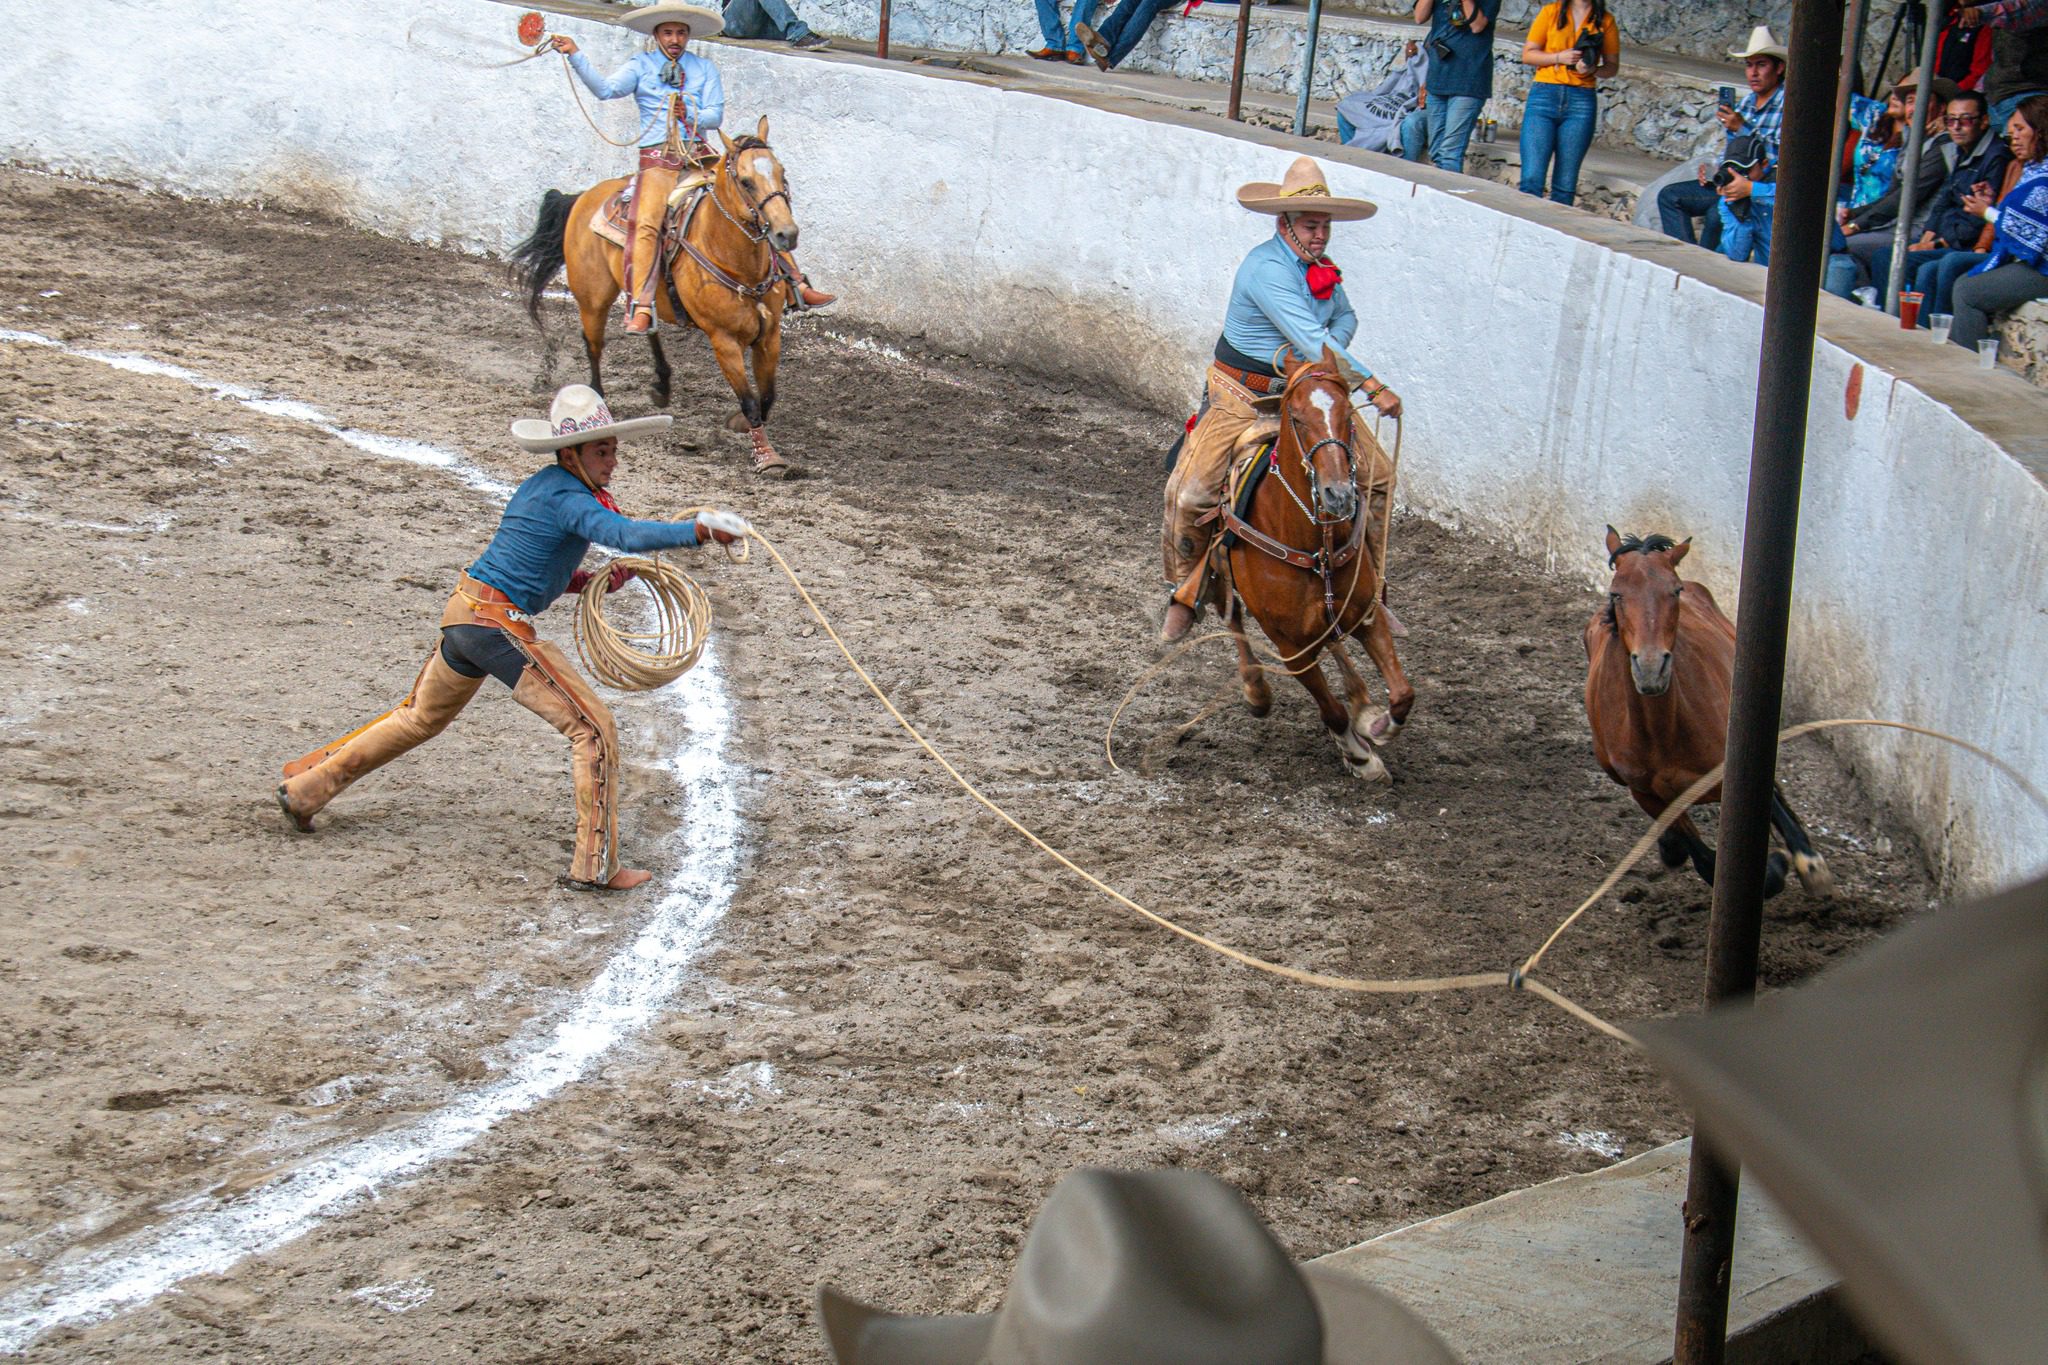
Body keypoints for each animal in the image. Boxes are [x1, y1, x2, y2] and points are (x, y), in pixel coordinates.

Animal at [1212, 347, 1409, 785]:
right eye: (1298, 418)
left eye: (1348, 414)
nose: (1338, 495)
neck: (1313, 544)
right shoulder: (1292, 650)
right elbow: (1331, 711)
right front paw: (1361, 756)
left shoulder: (1368, 616)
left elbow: (1403, 695)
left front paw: (1376, 725)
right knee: (1232, 617)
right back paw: (1256, 691)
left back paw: (1362, 701)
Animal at [1581, 527, 1843, 900]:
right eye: (1617, 594)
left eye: (1674, 590)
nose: (1651, 668)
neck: (1663, 733)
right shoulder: (1647, 795)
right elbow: (1705, 861)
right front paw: (1775, 865)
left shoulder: (1731, 766)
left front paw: (1809, 865)